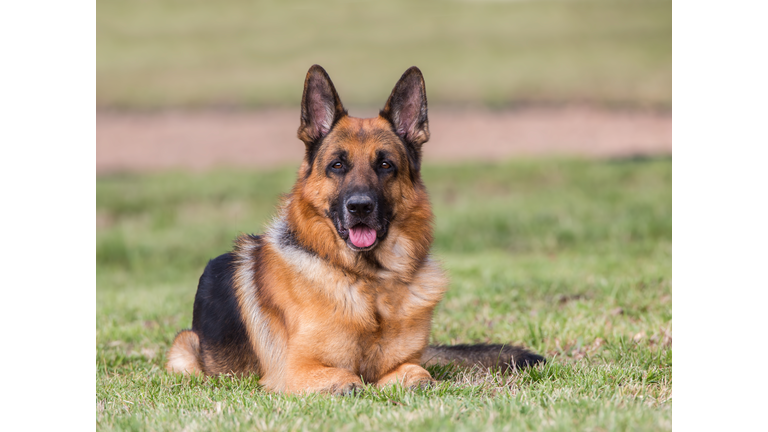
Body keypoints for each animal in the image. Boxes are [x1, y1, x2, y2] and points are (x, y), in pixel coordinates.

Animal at [165, 65, 544, 394]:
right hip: (184, 351)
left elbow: (418, 373)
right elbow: (349, 379)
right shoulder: (295, 371)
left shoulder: (408, 363)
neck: (369, 281)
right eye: (337, 165)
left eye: (385, 164)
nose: (360, 207)